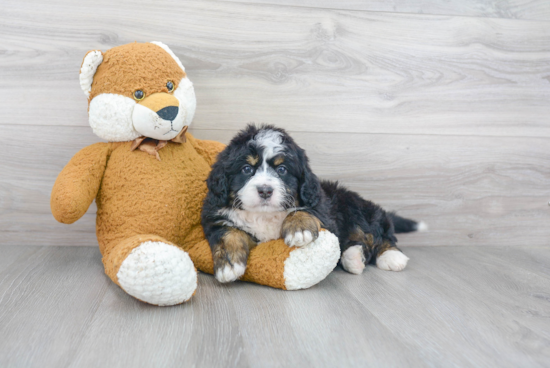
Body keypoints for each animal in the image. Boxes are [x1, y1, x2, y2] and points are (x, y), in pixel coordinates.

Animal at [204, 125, 426, 284]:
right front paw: (229, 265)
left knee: (379, 234)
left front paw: (299, 229)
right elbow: (228, 234)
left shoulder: (323, 207)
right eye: (247, 169)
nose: (265, 190)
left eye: (282, 170)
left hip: (356, 209)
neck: (264, 215)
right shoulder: (215, 217)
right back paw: (353, 258)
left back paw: (391, 257)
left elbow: (303, 210)